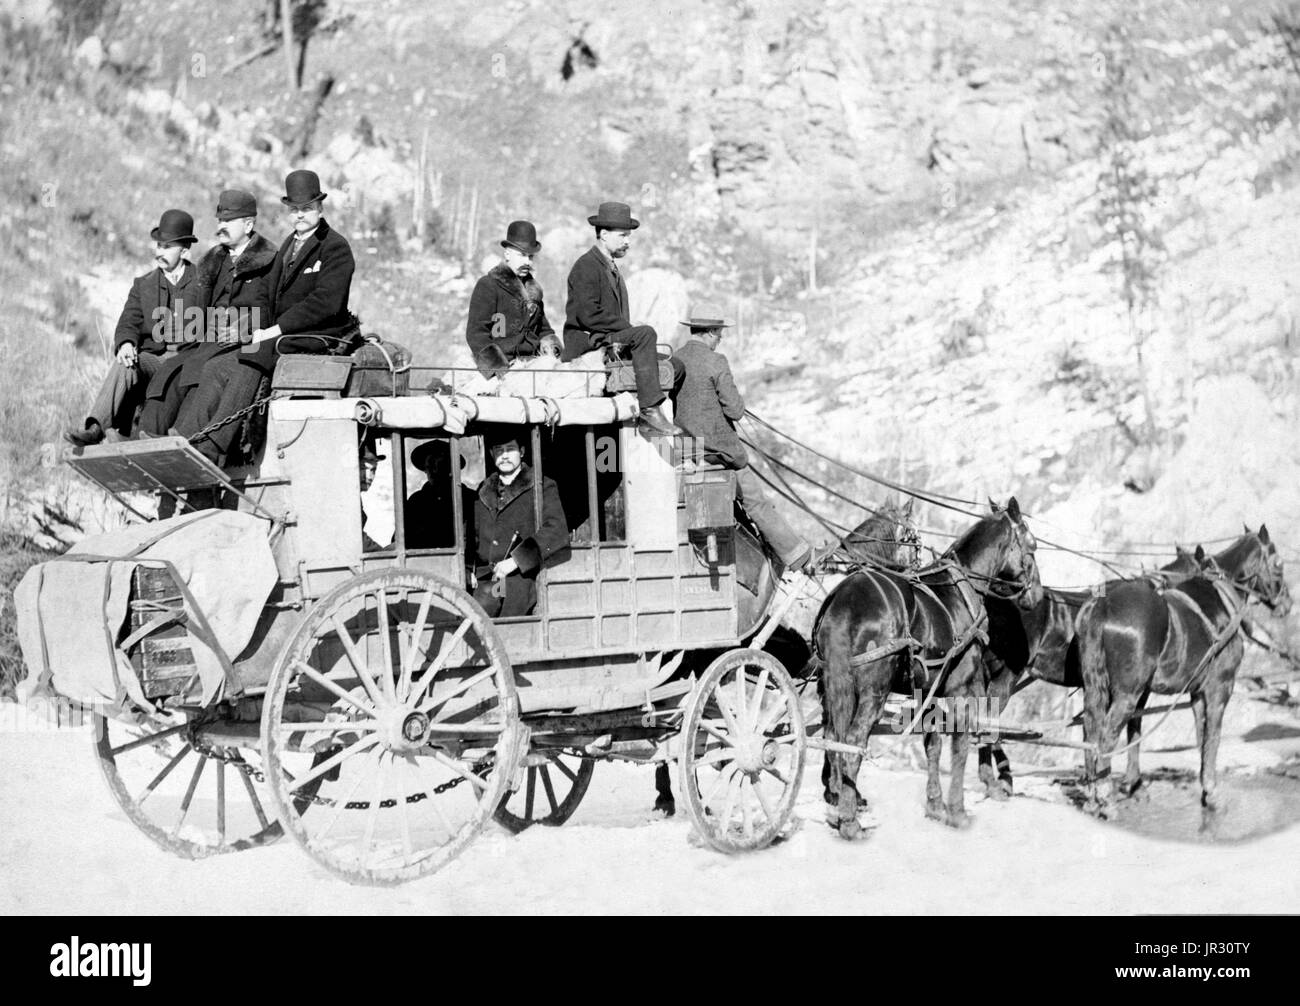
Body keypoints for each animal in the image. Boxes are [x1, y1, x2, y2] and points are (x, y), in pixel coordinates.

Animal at [811, 499, 1045, 837]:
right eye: (1032, 544)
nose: (1036, 595)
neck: (961, 591)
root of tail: (844, 601)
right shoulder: (963, 689)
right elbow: (959, 745)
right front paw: (957, 811)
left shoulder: (928, 691)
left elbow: (932, 744)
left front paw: (935, 805)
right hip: (874, 691)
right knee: (853, 741)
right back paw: (850, 821)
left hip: (830, 686)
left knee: (832, 737)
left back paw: (839, 805)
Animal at [1076, 532, 1289, 816]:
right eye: (1278, 563)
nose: (1287, 603)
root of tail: (1104, 604)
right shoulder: (1220, 688)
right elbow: (1213, 736)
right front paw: (1212, 792)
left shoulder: (1196, 692)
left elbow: (1200, 737)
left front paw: (1204, 789)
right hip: (1126, 695)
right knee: (1106, 737)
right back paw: (1105, 799)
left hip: (1096, 688)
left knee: (1090, 729)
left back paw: (1093, 797)